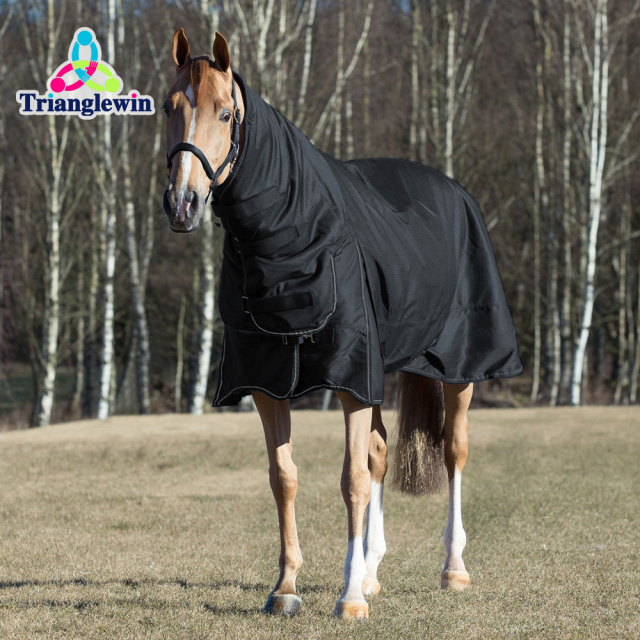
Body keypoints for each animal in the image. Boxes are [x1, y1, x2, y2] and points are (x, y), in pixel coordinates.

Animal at [162, 29, 522, 619]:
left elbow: (351, 479)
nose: (182, 203)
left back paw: (453, 569)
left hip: (459, 368)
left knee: (453, 451)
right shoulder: (269, 379)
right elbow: (284, 477)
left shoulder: (351, 376)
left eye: (225, 112)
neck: (291, 234)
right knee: (380, 453)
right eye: (170, 108)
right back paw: (372, 569)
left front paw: (349, 598)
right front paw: (287, 586)